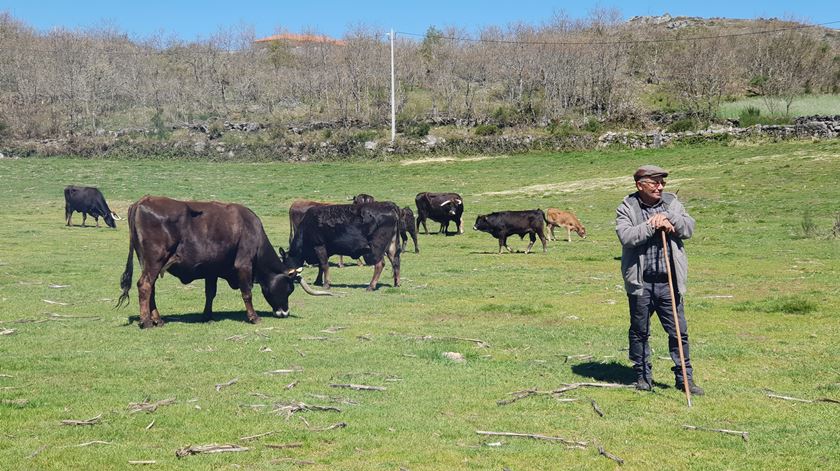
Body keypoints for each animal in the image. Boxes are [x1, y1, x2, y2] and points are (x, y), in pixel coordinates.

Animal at [115, 195, 332, 328]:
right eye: (289, 289)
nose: (284, 312)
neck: (251, 229)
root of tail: (142, 201)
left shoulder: (211, 269)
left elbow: (210, 293)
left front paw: (207, 315)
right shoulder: (243, 264)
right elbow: (247, 293)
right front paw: (253, 317)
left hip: (148, 263)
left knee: (150, 288)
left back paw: (158, 319)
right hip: (155, 261)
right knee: (144, 286)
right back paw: (146, 322)